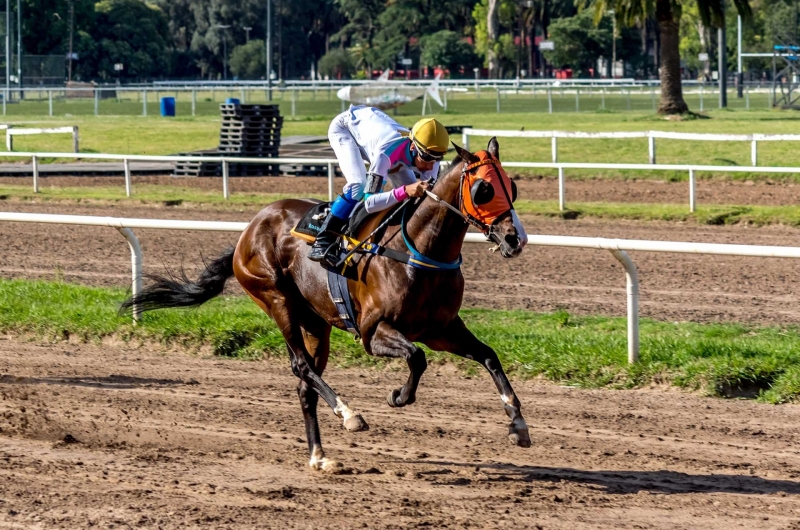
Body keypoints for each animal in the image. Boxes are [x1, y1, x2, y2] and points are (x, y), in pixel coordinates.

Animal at [123, 137, 532, 470]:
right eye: (483, 189)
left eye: (511, 185)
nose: (515, 239)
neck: (418, 251)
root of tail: (249, 229)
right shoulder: (373, 332)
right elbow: (417, 358)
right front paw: (398, 396)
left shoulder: (441, 328)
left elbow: (489, 356)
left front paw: (518, 425)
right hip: (276, 299)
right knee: (301, 366)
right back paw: (348, 413)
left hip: (316, 322)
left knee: (305, 385)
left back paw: (319, 456)